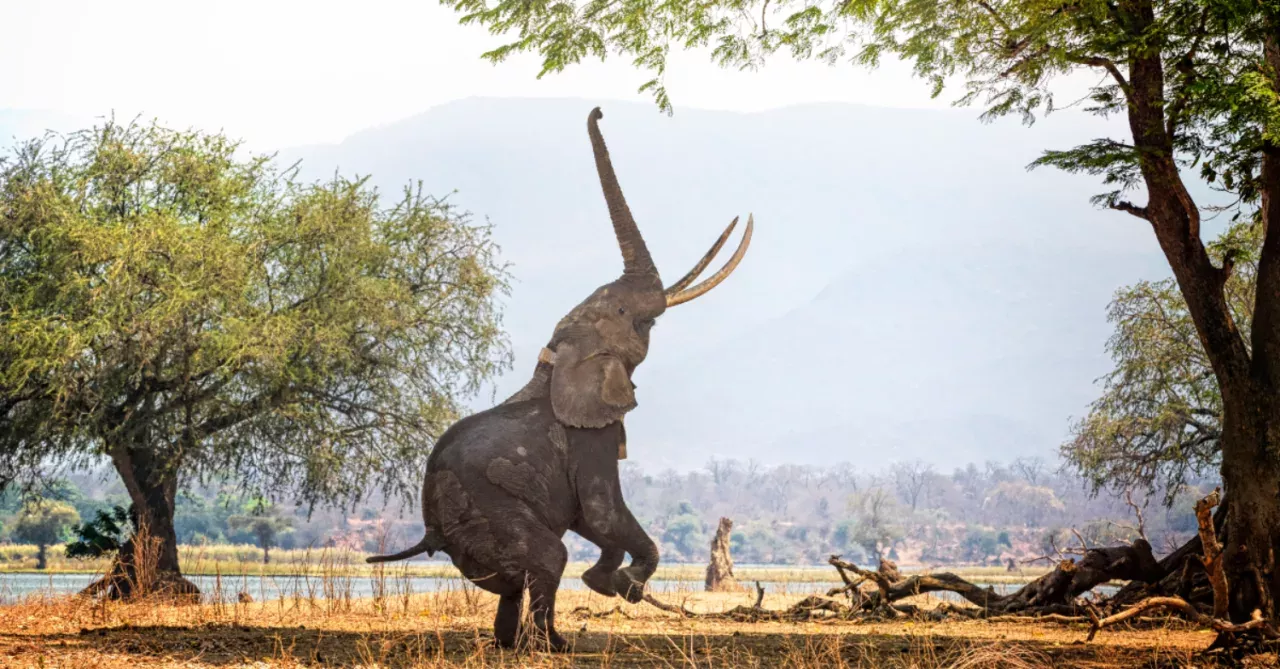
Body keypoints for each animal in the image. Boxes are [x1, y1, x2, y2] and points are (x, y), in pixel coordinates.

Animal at [366, 106, 752, 652]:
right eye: (631, 316)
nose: (598, 110)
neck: (558, 358)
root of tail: (431, 533)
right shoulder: (590, 436)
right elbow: (601, 511)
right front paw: (617, 585)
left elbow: (590, 518)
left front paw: (611, 580)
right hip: (492, 515)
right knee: (549, 558)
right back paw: (553, 644)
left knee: (517, 581)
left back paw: (512, 644)